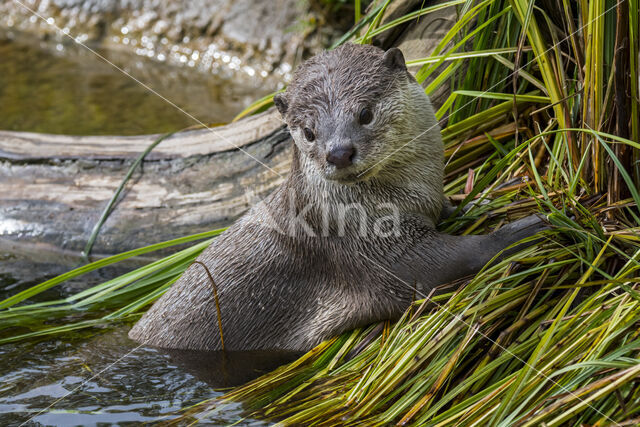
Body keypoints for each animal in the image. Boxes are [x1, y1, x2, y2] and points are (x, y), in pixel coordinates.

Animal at [129, 42, 544, 352]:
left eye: (365, 113)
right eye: (309, 132)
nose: (339, 152)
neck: (411, 192)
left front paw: (481, 199)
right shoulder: (370, 247)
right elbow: (438, 265)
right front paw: (525, 228)